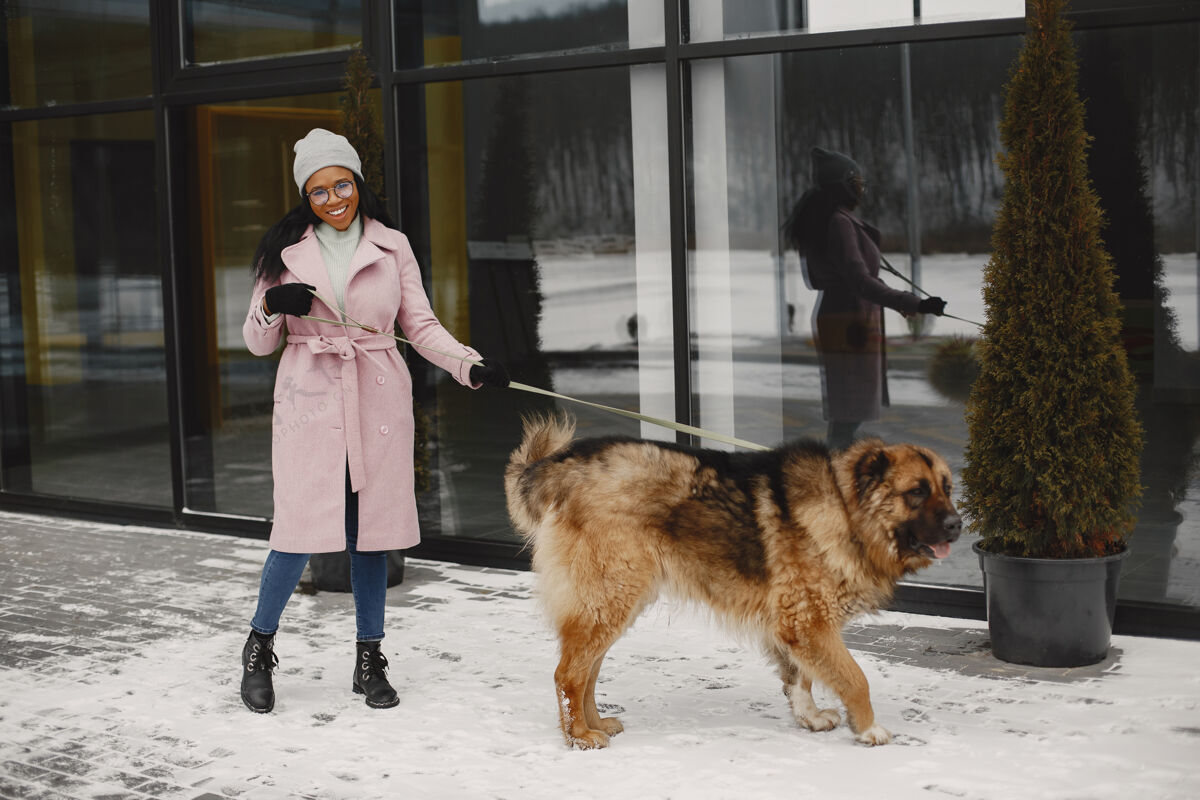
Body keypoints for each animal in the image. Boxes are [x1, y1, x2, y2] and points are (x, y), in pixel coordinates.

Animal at [501, 417, 960, 748]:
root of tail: (559, 466)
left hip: (613, 602)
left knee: (587, 671)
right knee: (568, 675)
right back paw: (579, 736)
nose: (958, 525)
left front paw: (809, 718)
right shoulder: (810, 623)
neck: (846, 508)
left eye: (948, 488)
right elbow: (855, 678)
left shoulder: (793, 623)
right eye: (917, 492)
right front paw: (868, 729)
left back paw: (596, 723)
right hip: (609, 597)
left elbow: (800, 679)